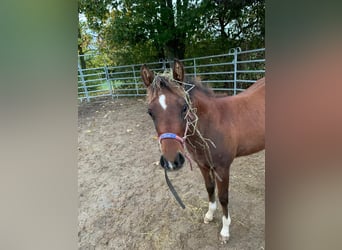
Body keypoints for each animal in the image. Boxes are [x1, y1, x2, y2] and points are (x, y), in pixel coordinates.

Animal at [140, 59, 266, 243]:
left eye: (184, 107)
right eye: (150, 112)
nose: (172, 161)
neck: (212, 124)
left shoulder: (222, 168)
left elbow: (223, 197)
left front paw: (225, 231)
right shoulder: (203, 165)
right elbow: (209, 188)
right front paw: (209, 215)